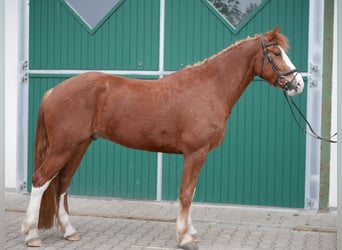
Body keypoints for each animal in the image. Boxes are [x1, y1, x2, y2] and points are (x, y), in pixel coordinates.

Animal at [22, 28, 304, 249]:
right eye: (276, 54)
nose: (298, 84)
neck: (209, 87)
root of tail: (55, 90)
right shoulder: (195, 152)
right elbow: (186, 193)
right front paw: (184, 238)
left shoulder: (197, 155)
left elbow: (192, 191)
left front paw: (190, 232)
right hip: (63, 147)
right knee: (40, 181)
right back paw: (32, 235)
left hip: (79, 145)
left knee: (62, 182)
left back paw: (69, 231)